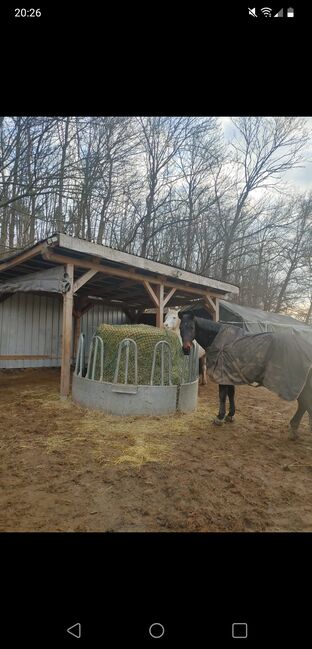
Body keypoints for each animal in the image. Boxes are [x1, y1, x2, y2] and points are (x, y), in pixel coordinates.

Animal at [179, 312, 312, 438]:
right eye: (180, 327)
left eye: (191, 327)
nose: (186, 349)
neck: (221, 341)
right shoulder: (229, 375)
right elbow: (231, 394)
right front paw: (230, 415)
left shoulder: (222, 375)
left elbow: (222, 396)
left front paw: (220, 417)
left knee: (304, 404)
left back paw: (294, 429)